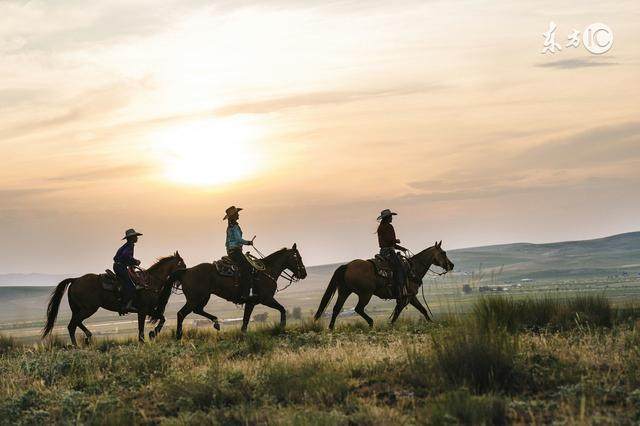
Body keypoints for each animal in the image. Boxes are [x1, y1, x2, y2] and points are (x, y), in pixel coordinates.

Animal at [42, 253, 185, 346]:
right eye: (182, 264)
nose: (181, 281)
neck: (150, 282)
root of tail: (75, 279)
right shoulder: (143, 310)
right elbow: (142, 327)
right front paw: (146, 338)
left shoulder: (148, 310)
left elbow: (162, 318)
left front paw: (152, 334)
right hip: (88, 309)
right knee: (72, 325)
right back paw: (78, 345)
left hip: (78, 309)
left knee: (75, 324)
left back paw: (87, 338)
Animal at [170, 243, 308, 340]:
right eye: (299, 258)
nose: (304, 274)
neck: (266, 271)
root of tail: (187, 271)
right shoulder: (266, 299)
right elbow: (282, 309)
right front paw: (282, 326)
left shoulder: (251, 303)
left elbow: (246, 320)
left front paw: (243, 334)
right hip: (195, 299)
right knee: (181, 314)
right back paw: (178, 335)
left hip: (202, 298)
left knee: (197, 310)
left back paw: (216, 323)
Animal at [316, 241, 456, 328]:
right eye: (443, 253)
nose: (452, 265)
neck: (413, 269)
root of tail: (347, 266)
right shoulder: (405, 297)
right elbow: (397, 312)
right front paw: (391, 325)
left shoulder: (411, 297)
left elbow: (423, 310)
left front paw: (431, 323)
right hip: (365, 294)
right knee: (358, 309)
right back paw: (371, 322)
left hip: (344, 291)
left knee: (336, 308)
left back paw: (331, 328)